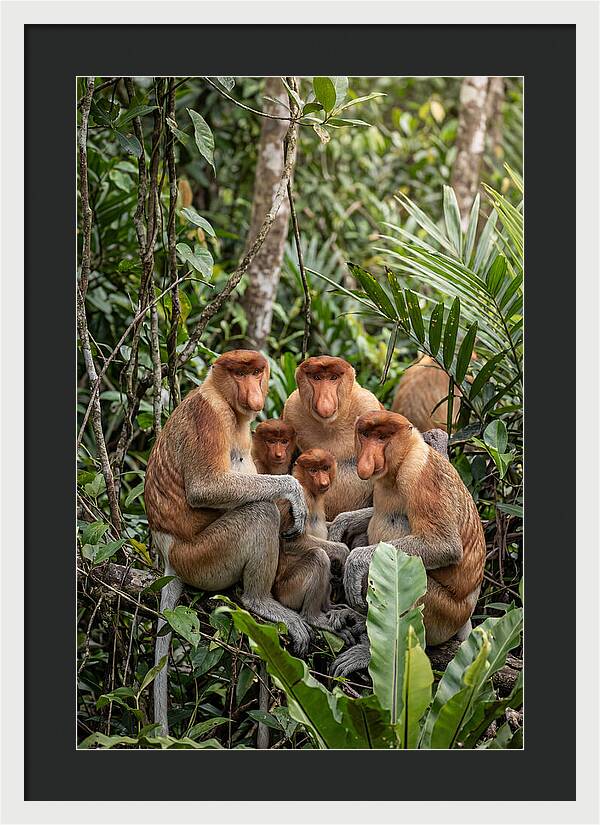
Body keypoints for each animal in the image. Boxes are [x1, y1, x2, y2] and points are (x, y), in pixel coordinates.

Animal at [144, 350, 311, 734]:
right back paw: (259, 601)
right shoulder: (209, 416)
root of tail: (168, 555)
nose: (254, 393)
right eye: (239, 373)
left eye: (256, 372)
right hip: (203, 557)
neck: (223, 397)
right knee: (260, 513)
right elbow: (206, 487)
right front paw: (294, 493)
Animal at [273, 449, 359, 643]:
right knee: (318, 556)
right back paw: (314, 617)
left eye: (325, 468)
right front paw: (343, 551)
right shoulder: (299, 500)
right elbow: (291, 542)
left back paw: (330, 607)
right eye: (313, 470)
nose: (323, 481)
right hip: (289, 591)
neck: (309, 490)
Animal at [283, 356, 382, 521]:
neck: (330, 425)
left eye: (333, 378)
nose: (325, 403)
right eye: (316, 377)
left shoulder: (367, 404)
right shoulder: (291, 409)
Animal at [331, 411, 485, 678]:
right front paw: (341, 523)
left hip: (444, 614)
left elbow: (444, 545)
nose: (367, 459)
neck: (402, 460)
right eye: (366, 435)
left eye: (382, 437)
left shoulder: (420, 476)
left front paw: (355, 562)